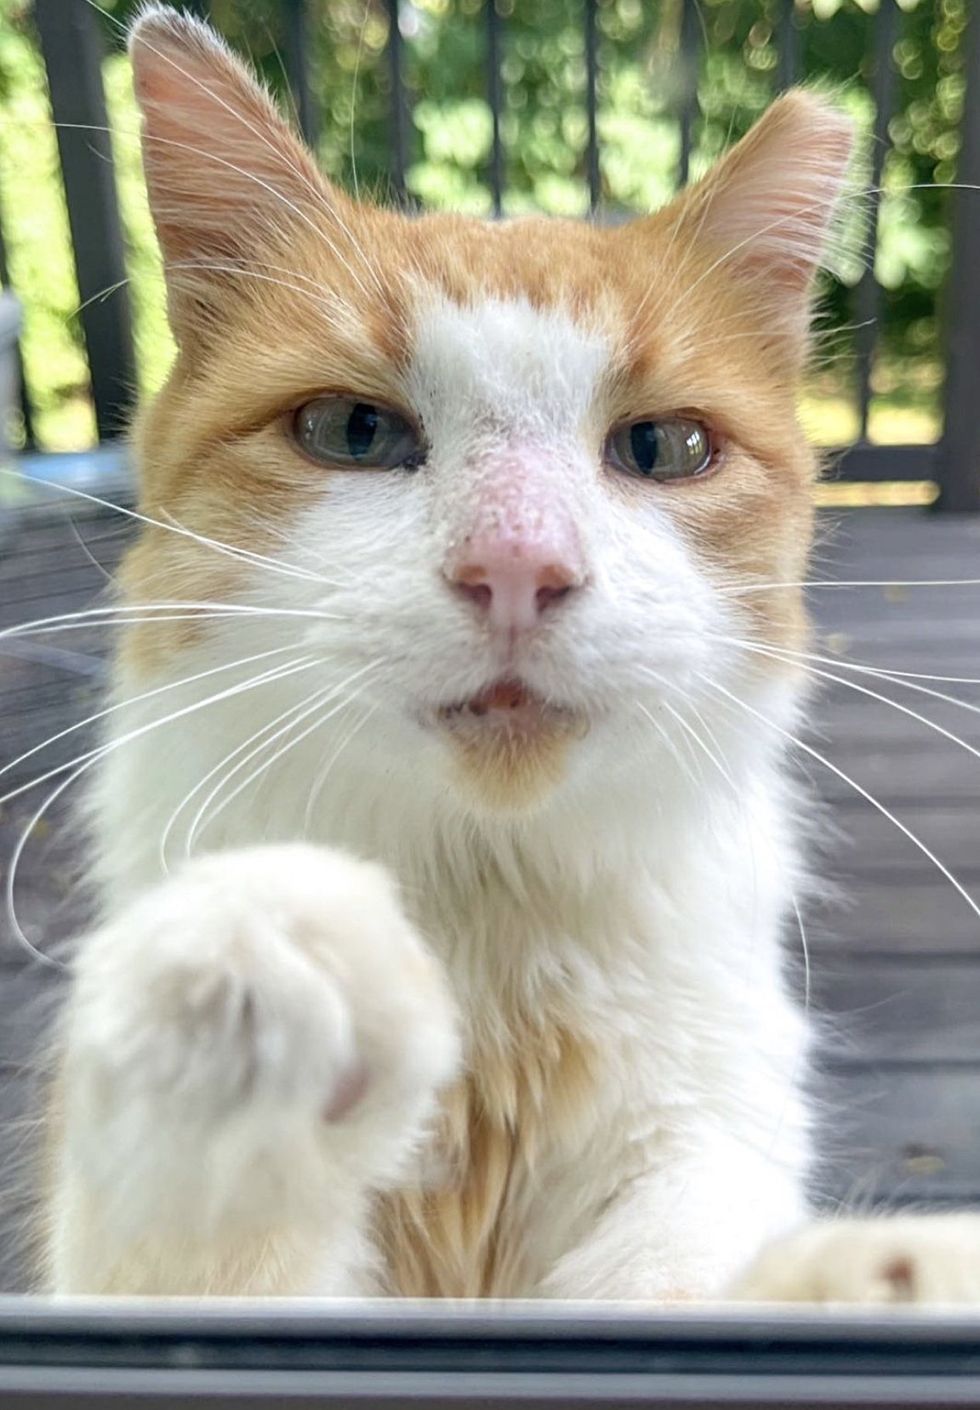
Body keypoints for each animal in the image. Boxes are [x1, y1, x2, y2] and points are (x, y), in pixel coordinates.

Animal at [34, 2, 980, 1297]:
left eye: (664, 448)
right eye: (351, 431)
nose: (519, 569)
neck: (485, 930)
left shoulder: (702, 1138)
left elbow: (698, 1286)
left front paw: (890, 1277)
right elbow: (197, 1253)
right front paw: (260, 962)